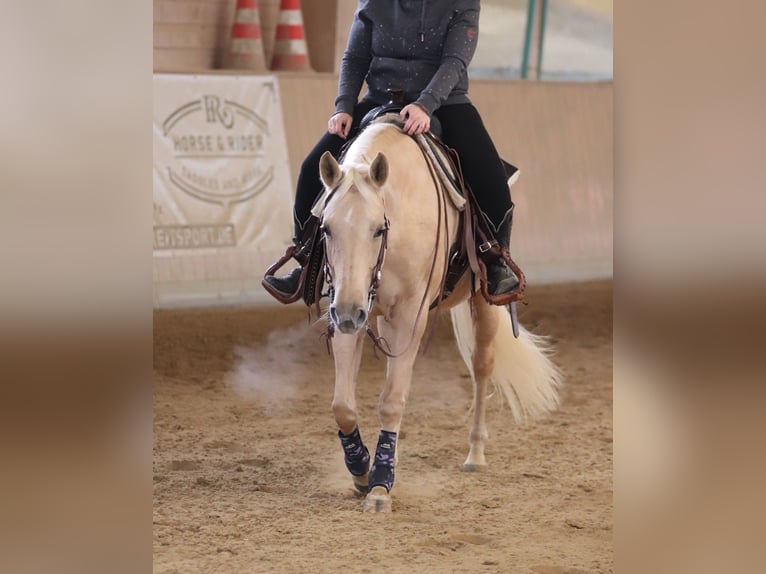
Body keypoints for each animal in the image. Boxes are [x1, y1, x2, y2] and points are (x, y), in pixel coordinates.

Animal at [312, 118, 564, 512]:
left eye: (378, 229)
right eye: (326, 228)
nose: (351, 313)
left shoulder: (408, 317)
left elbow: (392, 400)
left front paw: (381, 487)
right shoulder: (348, 310)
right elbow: (343, 405)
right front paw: (362, 470)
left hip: (483, 304)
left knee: (482, 368)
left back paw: (475, 454)